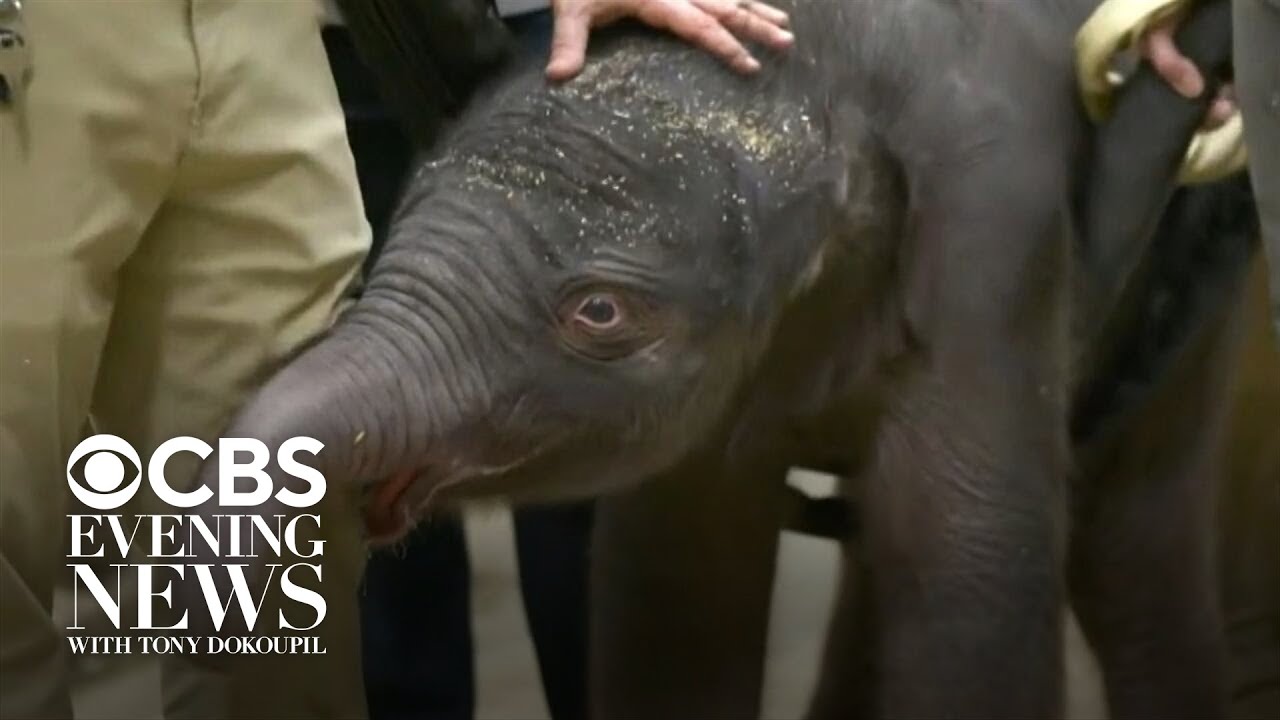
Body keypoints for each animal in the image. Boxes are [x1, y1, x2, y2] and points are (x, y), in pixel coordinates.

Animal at [172, 0, 1256, 717]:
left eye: (599, 312)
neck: (813, 62)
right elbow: (673, 581)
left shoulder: (999, 234)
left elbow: (975, 574)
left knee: (1132, 548)